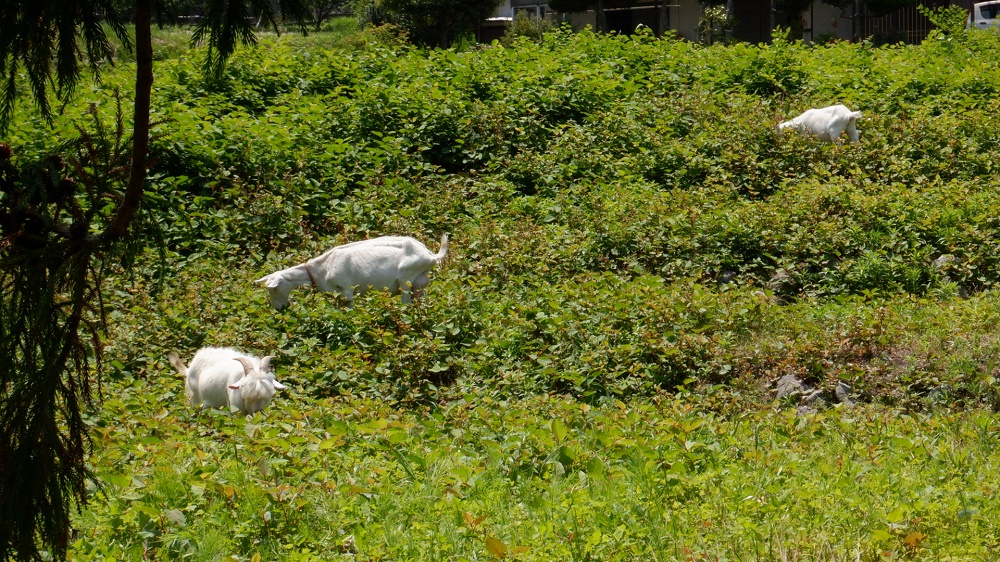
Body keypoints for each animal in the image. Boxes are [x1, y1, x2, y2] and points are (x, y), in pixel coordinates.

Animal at [254, 233, 450, 310]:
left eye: (274, 289)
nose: (279, 309)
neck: (321, 269)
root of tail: (430, 255)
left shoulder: (347, 289)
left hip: (406, 278)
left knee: (406, 302)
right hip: (420, 281)